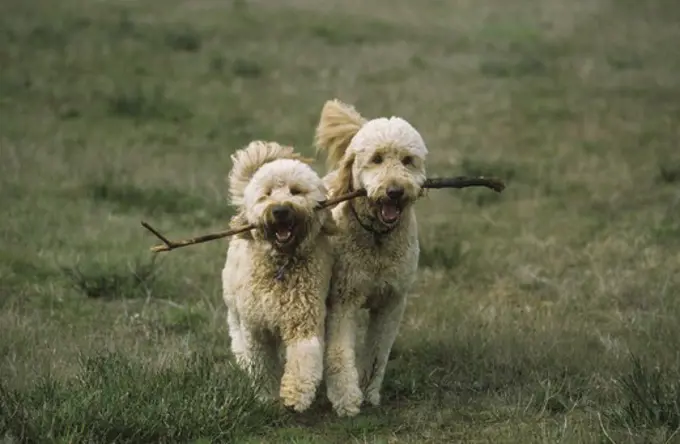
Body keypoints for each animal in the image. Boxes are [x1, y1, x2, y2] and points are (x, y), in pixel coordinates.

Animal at [222, 140, 338, 412]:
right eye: (266, 194)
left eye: (296, 191)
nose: (281, 211)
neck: (282, 264)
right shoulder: (256, 329)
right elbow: (262, 365)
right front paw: (266, 396)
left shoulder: (304, 320)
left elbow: (303, 359)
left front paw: (294, 395)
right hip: (234, 306)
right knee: (237, 336)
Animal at [314, 99, 430, 418]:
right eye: (376, 159)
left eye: (407, 160)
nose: (395, 191)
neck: (378, 238)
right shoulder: (343, 300)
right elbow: (339, 352)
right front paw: (346, 398)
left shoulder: (392, 302)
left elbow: (379, 351)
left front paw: (369, 391)